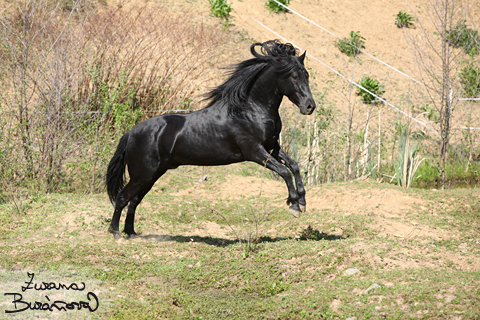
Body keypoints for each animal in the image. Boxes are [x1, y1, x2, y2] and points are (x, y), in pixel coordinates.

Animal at [106, 40, 316, 239]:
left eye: (306, 75)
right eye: (293, 76)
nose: (309, 106)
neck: (250, 110)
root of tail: (130, 133)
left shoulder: (272, 147)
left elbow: (294, 165)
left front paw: (302, 201)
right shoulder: (255, 151)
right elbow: (285, 171)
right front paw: (294, 205)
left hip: (153, 174)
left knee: (134, 200)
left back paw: (131, 232)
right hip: (142, 174)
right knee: (123, 198)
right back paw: (116, 232)